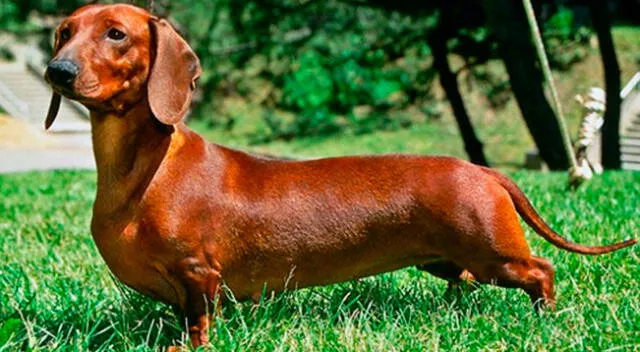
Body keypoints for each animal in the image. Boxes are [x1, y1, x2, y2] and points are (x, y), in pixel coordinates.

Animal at [43, 3, 636, 350]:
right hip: (453, 260)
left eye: (116, 34)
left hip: (496, 254)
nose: (57, 71)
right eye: (64, 34)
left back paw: (544, 318)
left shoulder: (198, 275)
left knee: (542, 270)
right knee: (466, 281)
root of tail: (482, 169)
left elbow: (198, 321)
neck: (145, 170)